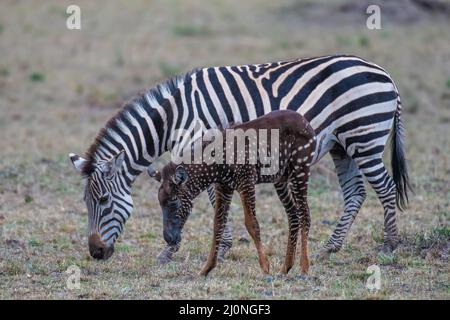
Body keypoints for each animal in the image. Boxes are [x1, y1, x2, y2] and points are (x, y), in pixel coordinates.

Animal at [149, 110, 314, 276]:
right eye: (160, 202)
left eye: (174, 200)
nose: (169, 238)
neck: (216, 169)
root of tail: (307, 124)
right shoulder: (224, 187)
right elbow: (218, 224)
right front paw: (206, 268)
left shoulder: (246, 181)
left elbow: (252, 224)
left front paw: (265, 267)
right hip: (280, 179)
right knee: (293, 214)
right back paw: (286, 267)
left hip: (300, 169)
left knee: (305, 214)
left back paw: (304, 268)